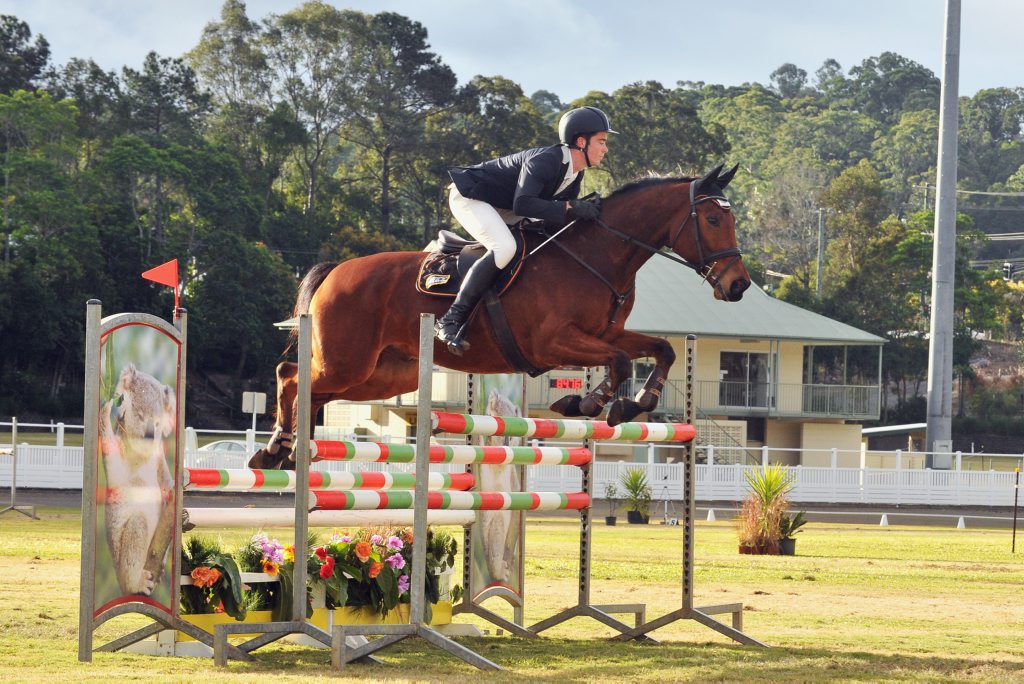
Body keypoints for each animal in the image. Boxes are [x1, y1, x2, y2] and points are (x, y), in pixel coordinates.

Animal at [247, 163, 745, 471]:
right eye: (712, 221)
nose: (738, 285)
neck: (596, 253)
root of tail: (335, 271)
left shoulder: (608, 333)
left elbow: (660, 349)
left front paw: (633, 401)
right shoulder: (551, 342)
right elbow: (621, 363)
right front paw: (588, 403)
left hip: (382, 376)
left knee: (306, 385)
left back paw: (284, 451)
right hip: (348, 363)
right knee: (290, 375)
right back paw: (276, 448)